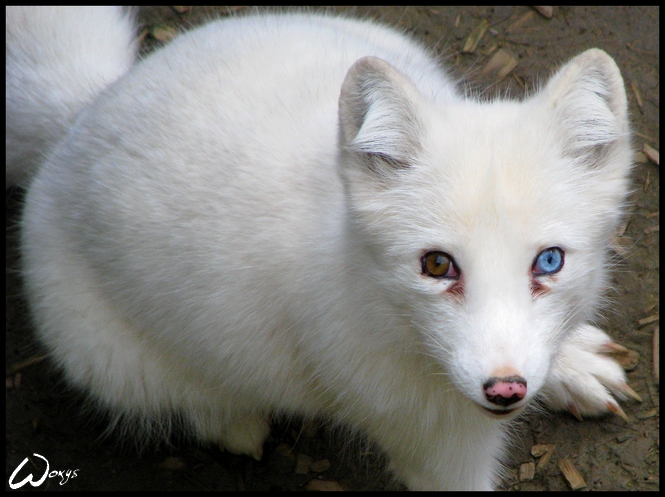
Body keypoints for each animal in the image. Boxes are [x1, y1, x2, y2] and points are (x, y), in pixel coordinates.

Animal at [8, 7, 638, 490]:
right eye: (437, 265)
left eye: (549, 261)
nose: (505, 389)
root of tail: (87, 107)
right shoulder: (434, 443)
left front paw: (565, 364)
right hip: (113, 361)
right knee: (191, 403)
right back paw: (234, 421)